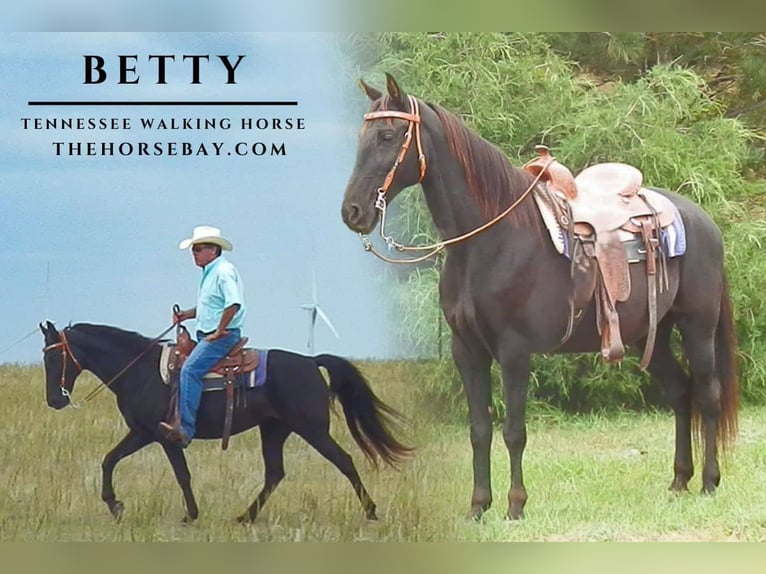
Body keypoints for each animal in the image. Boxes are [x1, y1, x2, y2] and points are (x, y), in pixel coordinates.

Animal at [39, 321, 411, 523]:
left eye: (55, 357)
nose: (55, 400)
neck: (139, 371)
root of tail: (310, 362)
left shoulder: (157, 434)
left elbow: (179, 474)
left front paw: (188, 514)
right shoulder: (143, 433)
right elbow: (109, 459)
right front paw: (116, 504)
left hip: (312, 430)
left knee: (344, 461)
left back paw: (371, 511)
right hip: (274, 430)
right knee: (275, 474)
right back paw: (245, 516)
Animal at [341, 73, 739, 520]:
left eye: (388, 135)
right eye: (363, 136)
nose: (352, 211)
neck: (491, 240)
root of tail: (703, 220)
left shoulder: (515, 351)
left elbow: (514, 431)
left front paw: (515, 506)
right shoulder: (467, 351)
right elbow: (479, 429)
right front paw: (478, 506)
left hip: (697, 326)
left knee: (707, 395)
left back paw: (708, 482)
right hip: (648, 336)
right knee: (680, 392)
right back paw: (679, 481)